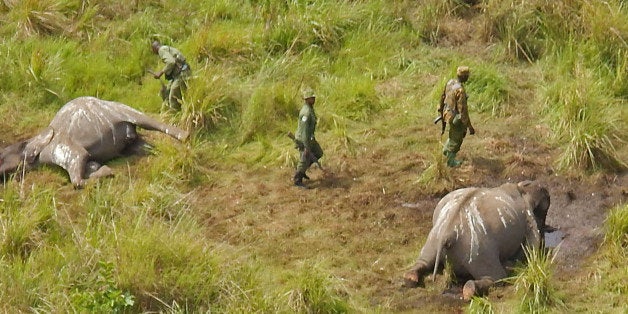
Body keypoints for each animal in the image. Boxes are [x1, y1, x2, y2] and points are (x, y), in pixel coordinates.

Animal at [0, 97, 189, 188]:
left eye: (1, 157)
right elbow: (90, 165)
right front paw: (103, 170)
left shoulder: (62, 147)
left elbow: (77, 178)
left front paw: (108, 172)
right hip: (131, 142)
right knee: (145, 147)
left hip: (121, 110)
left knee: (149, 121)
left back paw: (186, 136)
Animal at [404, 180, 548, 300]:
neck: (520, 188)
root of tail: (448, 234)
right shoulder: (528, 217)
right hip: (477, 249)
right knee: (497, 276)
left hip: (433, 238)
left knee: (423, 261)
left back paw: (410, 277)